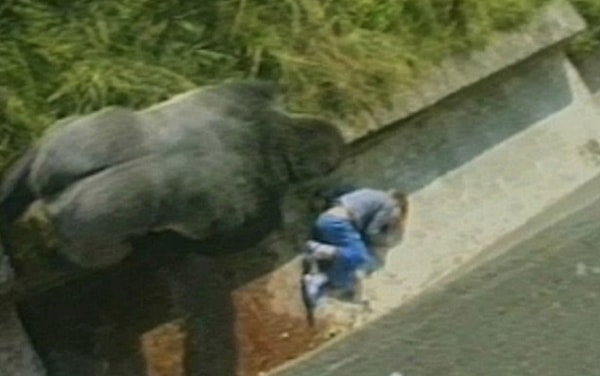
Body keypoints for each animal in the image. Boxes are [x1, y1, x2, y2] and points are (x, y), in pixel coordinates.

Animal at [0, 81, 346, 268]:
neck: (276, 130)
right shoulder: (254, 204)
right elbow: (224, 241)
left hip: (64, 135)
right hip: (91, 231)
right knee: (109, 254)